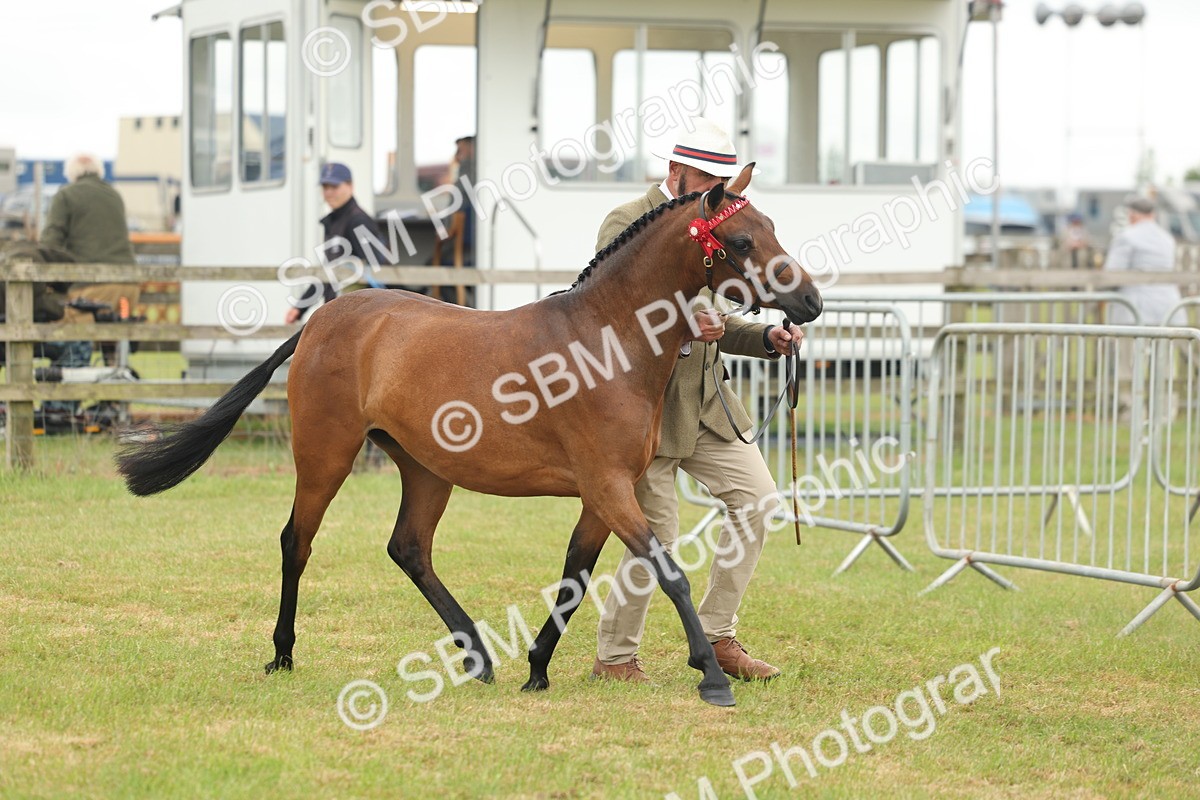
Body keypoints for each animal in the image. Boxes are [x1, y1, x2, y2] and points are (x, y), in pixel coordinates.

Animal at [116, 164, 823, 706]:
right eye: (740, 238)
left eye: (772, 228)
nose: (811, 304)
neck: (606, 339)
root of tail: (321, 319)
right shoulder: (609, 487)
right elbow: (669, 573)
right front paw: (712, 677)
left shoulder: (603, 495)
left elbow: (575, 578)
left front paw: (536, 669)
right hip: (326, 455)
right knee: (298, 541)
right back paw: (284, 655)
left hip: (427, 469)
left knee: (409, 549)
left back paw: (478, 656)